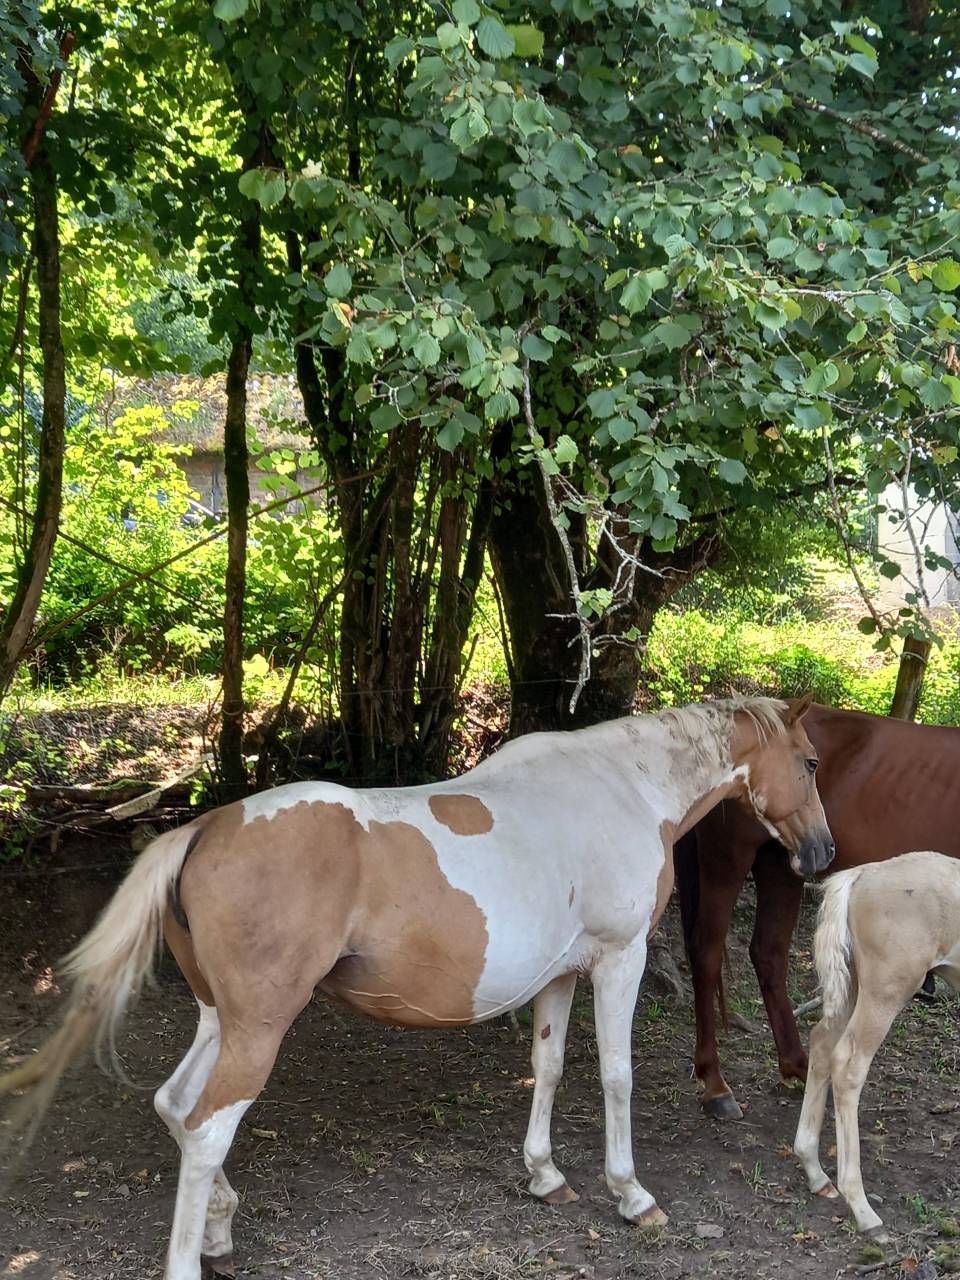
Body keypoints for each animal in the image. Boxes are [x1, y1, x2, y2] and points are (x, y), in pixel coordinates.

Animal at [0, 696, 832, 1280]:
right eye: (812, 763)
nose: (822, 855)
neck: (625, 788)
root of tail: (202, 829)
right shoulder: (617, 962)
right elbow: (615, 1077)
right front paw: (631, 1195)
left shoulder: (561, 977)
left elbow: (550, 1069)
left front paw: (545, 1175)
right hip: (258, 1028)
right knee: (204, 1129)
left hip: (219, 1019)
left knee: (175, 1106)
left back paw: (220, 1227)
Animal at [675, 704, 960, 1120]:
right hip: (726, 861)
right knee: (706, 953)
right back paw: (715, 1084)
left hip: (782, 864)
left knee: (768, 954)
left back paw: (799, 1065)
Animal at [794, 851, 960, 1240]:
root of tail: (861, 875)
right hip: (887, 989)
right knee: (848, 1064)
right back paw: (862, 1208)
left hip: (855, 984)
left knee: (822, 1043)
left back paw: (815, 1171)